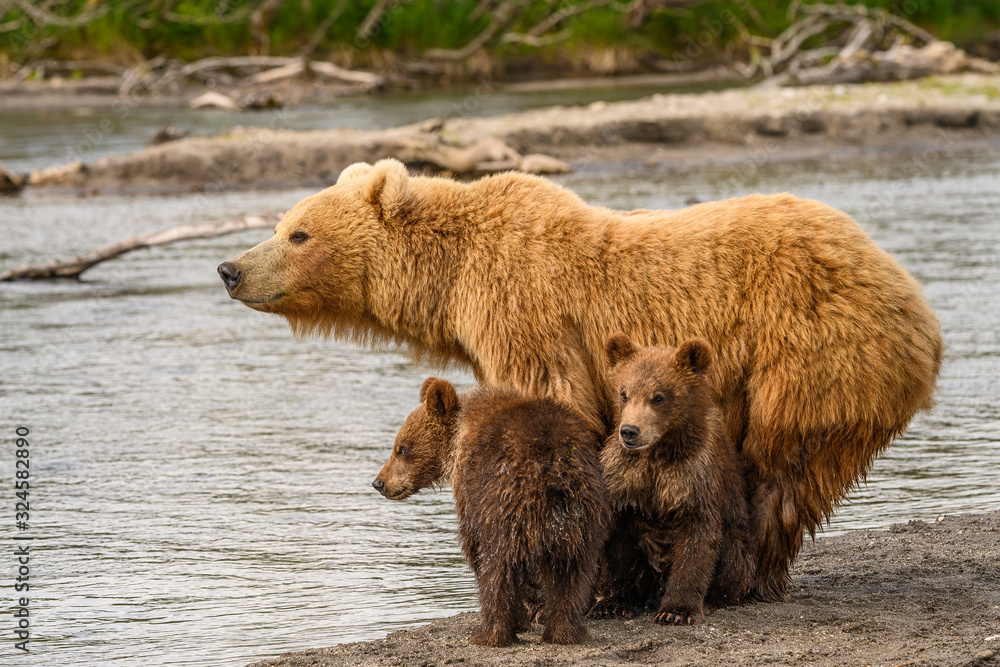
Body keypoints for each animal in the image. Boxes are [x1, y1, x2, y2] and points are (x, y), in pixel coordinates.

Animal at [372, 377, 612, 647]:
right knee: (572, 575)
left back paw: (489, 633)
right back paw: (565, 632)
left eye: (402, 449)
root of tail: (553, 475)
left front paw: (518, 621)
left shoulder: (471, 489)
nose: (379, 482)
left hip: (505, 508)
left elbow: (473, 545)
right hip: (584, 518)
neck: (457, 439)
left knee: (497, 569)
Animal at [592, 334, 755, 625]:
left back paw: (712, 600)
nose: (630, 431)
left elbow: (697, 539)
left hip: (739, 541)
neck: (657, 454)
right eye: (624, 393)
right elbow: (619, 545)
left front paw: (677, 610)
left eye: (658, 397)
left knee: (735, 561)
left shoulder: (694, 476)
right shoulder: (623, 479)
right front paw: (612, 603)